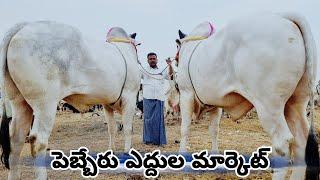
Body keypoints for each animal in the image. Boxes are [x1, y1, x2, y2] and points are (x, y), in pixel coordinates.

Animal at [0, 21, 140, 179]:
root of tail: (23, 27)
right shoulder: (130, 97)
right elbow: (128, 128)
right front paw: (127, 153)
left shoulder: (106, 104)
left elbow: (112, 128)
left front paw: (112, 152)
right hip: (46, 104)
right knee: (38, 141)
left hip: (20, 103)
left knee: (15, 140)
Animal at [176, 13, 318, 179]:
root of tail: (286, 19)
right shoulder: (216, 103)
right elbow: (214, 130)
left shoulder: (186, 94)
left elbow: (184, 128)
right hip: (294, 103)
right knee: (300, 142)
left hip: (269, 106)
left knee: (282, 143)